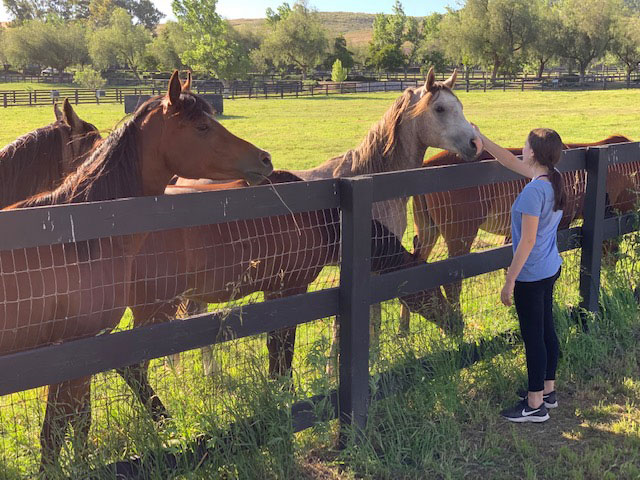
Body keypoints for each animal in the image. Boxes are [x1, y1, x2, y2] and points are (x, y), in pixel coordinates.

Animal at [0, 71, 272, 472]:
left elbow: (73, 424)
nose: (264, 159)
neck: (76, 237)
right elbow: (57, 433)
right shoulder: (72, 352)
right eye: (202, 127)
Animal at [115, 171, 442, 422]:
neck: (321, 222)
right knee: (132, 366)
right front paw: (288, 392)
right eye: (430, 292)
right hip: (156, 307)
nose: (451, 321)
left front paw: (276, 390)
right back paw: (163, 418)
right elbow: (284, 346)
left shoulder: (274, 292)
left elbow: (275, 346)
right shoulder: (291, 289)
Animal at [408, 134, 636, 326]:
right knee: (452, 284)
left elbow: (509, 269)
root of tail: (425, 166)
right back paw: (457, 325)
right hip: (459, 238)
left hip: (429, 232)